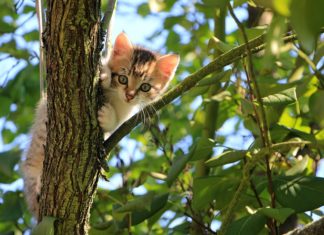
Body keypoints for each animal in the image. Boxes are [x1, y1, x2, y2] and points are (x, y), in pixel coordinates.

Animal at [21, 32, 180, 218]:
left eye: (145, 87)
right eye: (123, 78)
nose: (130, 95)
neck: (117, 98)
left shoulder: (126, 114)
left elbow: (116, 123)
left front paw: (107, 116)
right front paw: (104, 75)